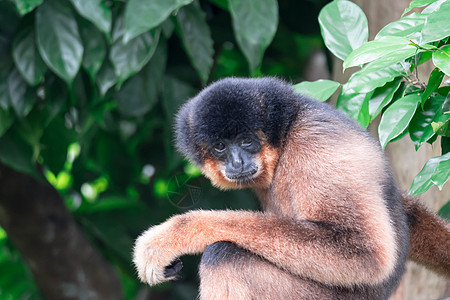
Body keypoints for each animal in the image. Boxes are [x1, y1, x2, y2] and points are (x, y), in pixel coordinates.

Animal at [134, 77, 450, 298]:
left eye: (247, 140)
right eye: (220, 146)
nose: (237, 161)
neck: (287, 135)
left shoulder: (315, 148)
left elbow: (364, 252)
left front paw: (173, 235)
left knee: (224, 256)